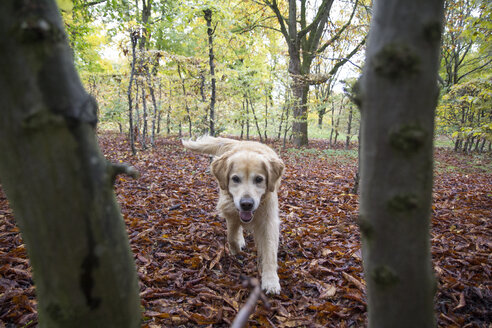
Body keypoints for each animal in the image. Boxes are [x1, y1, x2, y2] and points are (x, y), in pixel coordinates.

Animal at [183, 136, 284, 294]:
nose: (246, 204)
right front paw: (235, 249)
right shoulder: (230, 211)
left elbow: (270, 250)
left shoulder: (269, 220)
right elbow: (231, 236)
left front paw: (271, 280)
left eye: (259, 179)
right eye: (235, 179)